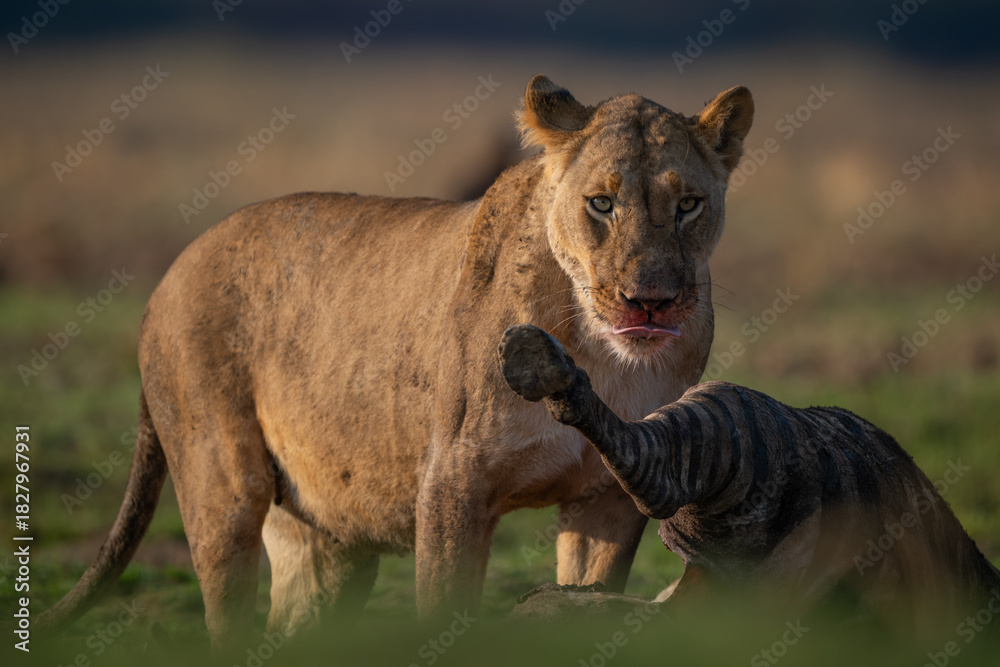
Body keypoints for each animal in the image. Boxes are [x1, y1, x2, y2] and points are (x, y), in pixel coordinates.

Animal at [38, 74, 754, 646]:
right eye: (601, 204)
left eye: (688, 205)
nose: (651, 303)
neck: (602, 357)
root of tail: (171, 270)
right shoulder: (452, 481)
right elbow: (444, 614)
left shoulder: (609, 497)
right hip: (223, 487)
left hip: (327, 537)